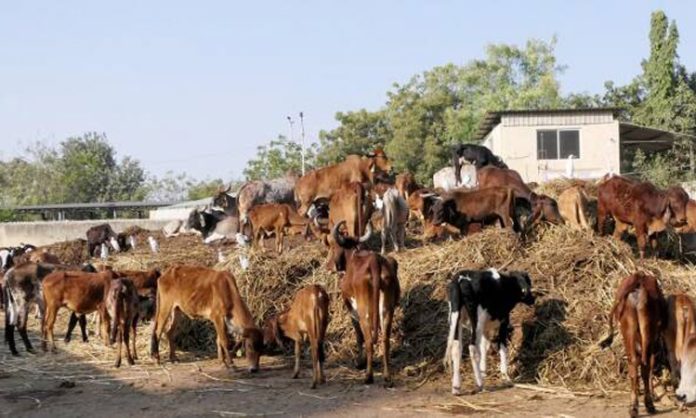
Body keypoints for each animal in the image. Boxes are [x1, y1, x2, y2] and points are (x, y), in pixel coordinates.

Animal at [330, 220, 400, 386]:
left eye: (334, 246)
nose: (332, 265)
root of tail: (375, 262)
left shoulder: (351, 309)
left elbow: (358, 335)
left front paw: (359, 362)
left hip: (364, 312)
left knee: (368, 340)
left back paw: (368, 375)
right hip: (386, 311)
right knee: (385, 340)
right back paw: (387, 376)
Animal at [444, 268, 536, 396]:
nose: (533, 299)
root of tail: (461, 278)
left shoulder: (485, 327)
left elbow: (484, 346)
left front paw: (483, 371)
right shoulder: (504, 320)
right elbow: (502, 347)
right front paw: (505, 376)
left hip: (456, 318)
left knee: (457, 347)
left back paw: (456, 387)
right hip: (477, 320)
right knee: (472, 348)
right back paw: (479, 384)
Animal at [600, 272, 664, 416]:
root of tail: (639, 278)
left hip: (629, 330)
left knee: (637, 363)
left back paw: (636, 406)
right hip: (642, 332)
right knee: (643, 364)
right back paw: (644, 404)